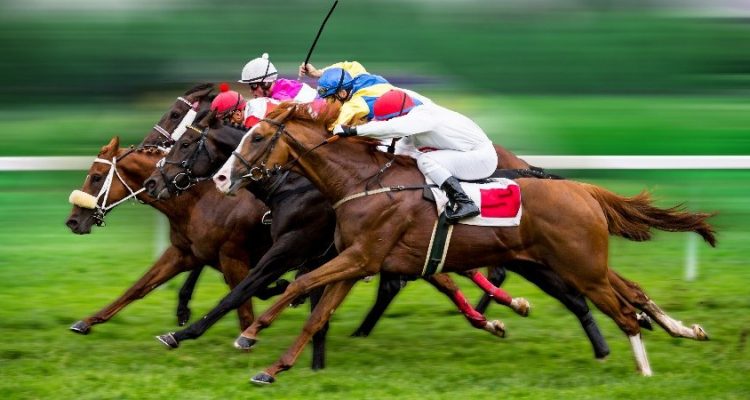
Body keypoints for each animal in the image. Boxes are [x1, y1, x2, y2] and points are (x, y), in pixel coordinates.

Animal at [217, 104, 716, 384]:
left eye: (258, 136)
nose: (222, 179)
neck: (364, 182)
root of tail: (583, 189)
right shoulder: (357, 262)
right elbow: (316, 314)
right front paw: (273, 369)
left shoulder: (361, 256)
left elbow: (301, 288)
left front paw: (249, 333)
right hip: (586, 262)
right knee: (634, 293)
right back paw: (686, 330)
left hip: (580, 267)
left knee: (624, 313)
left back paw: (645, 370)